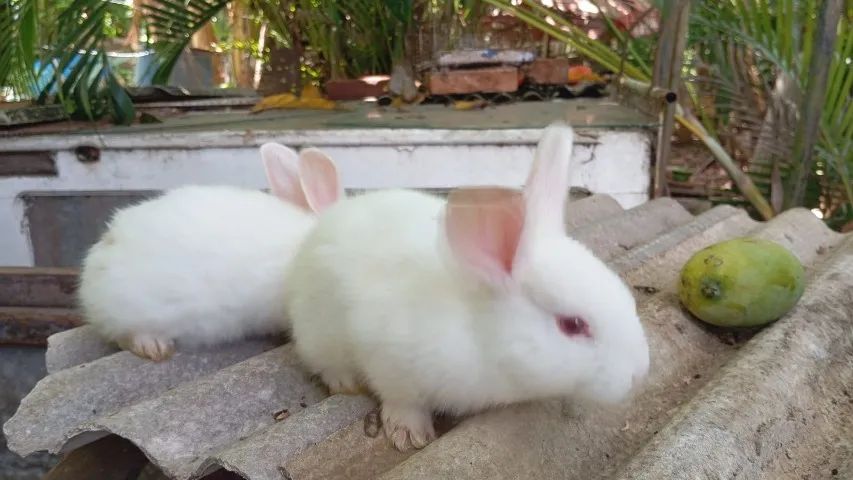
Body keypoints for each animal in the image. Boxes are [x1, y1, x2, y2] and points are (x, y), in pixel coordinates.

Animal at [282, 122, 650, 451]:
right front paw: (409, 434)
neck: (481, 336)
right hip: (317, 331)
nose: (638, 375)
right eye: (572, 324)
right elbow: (402, 399)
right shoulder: (389, 359)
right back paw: (344, 381)